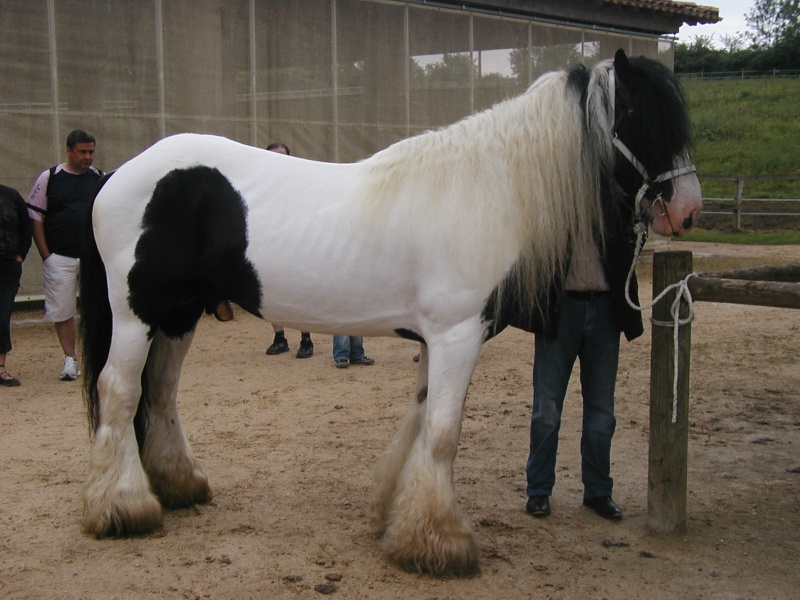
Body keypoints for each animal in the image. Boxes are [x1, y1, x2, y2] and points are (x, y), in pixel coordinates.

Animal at [79, 50, 700, 576]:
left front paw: (394, 518)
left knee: (160, 394)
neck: (484, 191)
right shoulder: (456, 335)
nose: (688, 211)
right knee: (120, 391)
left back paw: (179, 488)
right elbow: (444, 432)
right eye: (642, 116)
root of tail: (116, 176)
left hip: (180, 315)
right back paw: (124, 509)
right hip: (137, 314)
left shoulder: (435, 339)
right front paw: (442, 543)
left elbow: (421, 421)